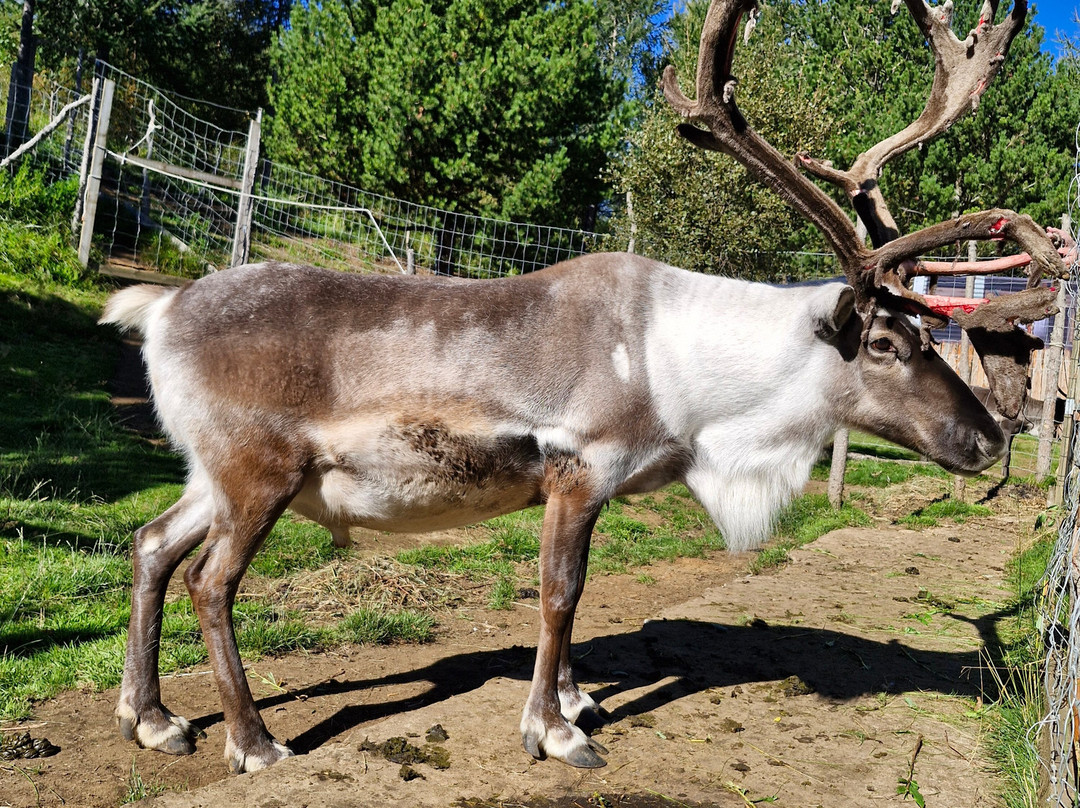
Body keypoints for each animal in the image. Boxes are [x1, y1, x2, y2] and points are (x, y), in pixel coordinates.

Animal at [99, 0, 1065, 775]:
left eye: (930, 331)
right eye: (889, 343)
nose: (992, 435)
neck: (695, 394)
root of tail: (163, 306)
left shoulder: (595, 486)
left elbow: (581, 594)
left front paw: (573, 701)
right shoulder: (580, 467)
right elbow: (559, 593)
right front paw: (555, 733)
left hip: (210, 472)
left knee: (150, 545)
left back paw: (153, 720)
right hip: (257, 471)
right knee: (210, 582)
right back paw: (253, 741)